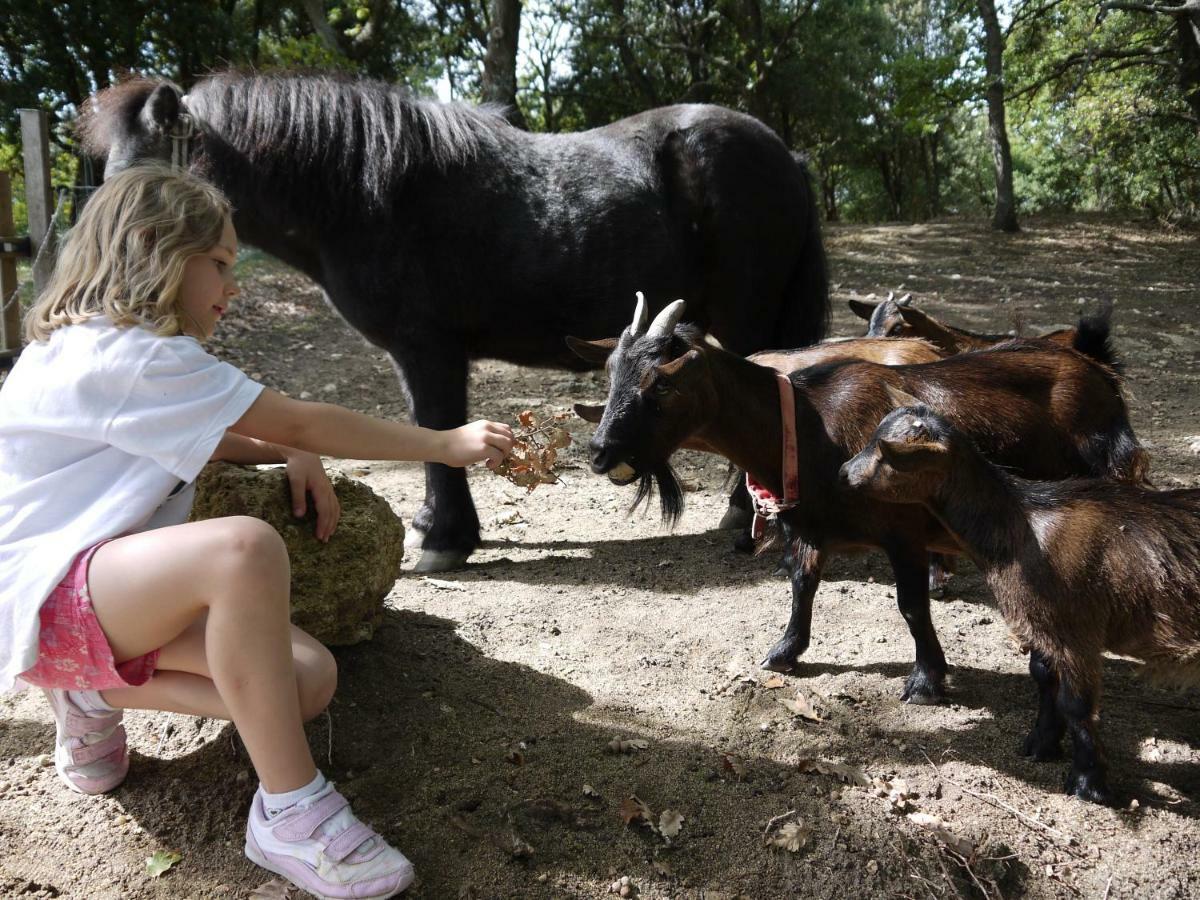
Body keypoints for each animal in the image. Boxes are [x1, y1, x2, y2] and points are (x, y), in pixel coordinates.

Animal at [79, 72, 830, 571]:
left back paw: (741, 516)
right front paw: (438, 527)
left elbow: (436, 429)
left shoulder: (426, 348)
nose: (108, 302)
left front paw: (443, 540)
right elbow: (434, 430)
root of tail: (784, 155)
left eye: (147, 190)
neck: (367, 195)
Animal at [578, 301, 1142, 705]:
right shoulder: (810, 526)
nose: (601, 452)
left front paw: (927, 681)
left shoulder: (905, 532)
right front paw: (785, 651)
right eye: (610, 371)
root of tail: (1103, 375)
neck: (807, 426)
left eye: (661, 383)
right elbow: (802, 585)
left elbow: (911, 605)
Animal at [840, 405, 1195, 806]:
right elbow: (1043, 676)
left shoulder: (1076, 631)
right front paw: (1041, 744)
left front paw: (1088, 784)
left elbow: (1077, 704)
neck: (1023, 527)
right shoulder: (1042, 623)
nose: (843, 473)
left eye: (887, 454)